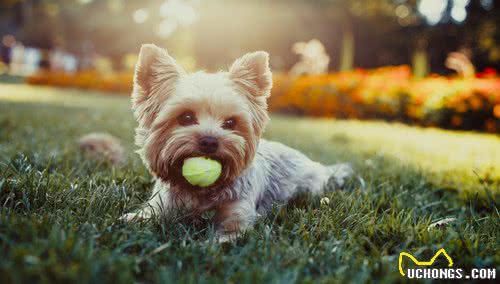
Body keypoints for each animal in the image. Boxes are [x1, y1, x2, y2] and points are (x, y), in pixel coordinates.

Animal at [121, 44, 354, 240]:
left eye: (231, 122)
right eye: (186, 117)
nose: (209, 141)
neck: (201, 192)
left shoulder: (238, 212)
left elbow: (229, 232)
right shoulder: (162, 204)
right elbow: (146, 214)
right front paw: (130, 219)